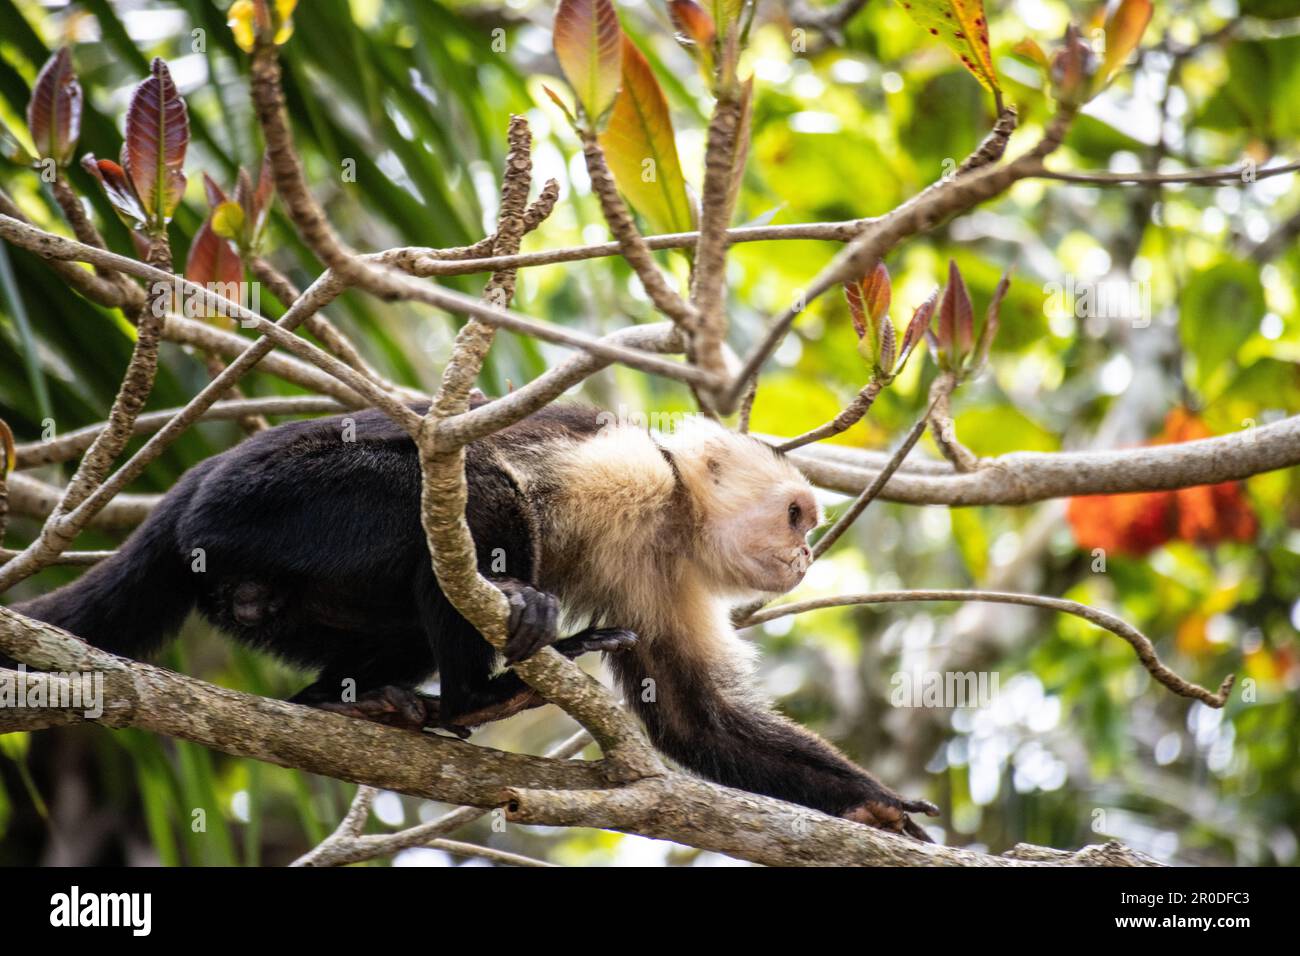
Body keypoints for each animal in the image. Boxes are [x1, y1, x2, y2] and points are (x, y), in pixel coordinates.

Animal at [9, 400, 938, 840]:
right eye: (795, 515)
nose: (806, 556)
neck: (673, 516)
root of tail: (195, 481)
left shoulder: (671, 576)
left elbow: (693, 718)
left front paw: (871, 806)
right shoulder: (628, 470)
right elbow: (497, 479)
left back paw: (351, 700)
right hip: (265, 504)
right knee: (459, 494)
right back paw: (479, 694)